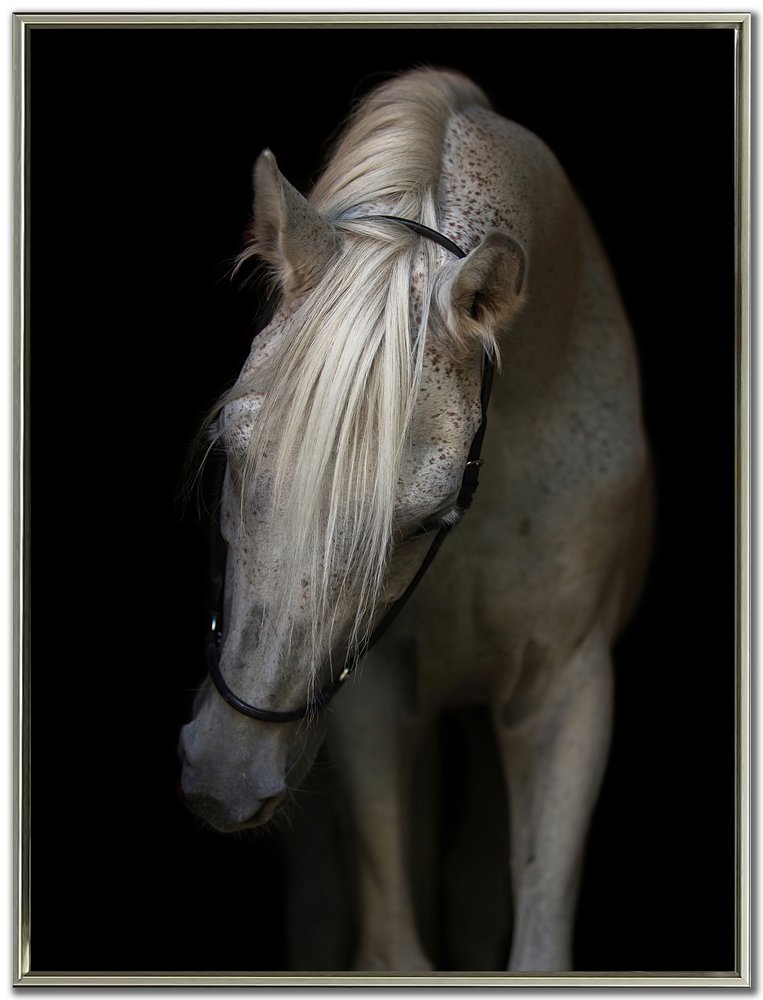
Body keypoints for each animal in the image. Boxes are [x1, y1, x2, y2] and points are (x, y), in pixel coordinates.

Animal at [178, 67, 652, 973]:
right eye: (229, 450)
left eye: (430, 514)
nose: (225, 772)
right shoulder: (371, 695)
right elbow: (392, 947)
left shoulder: (566, 691)